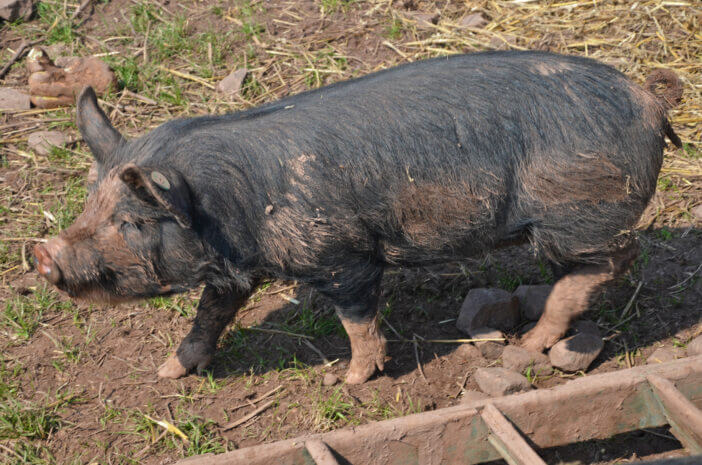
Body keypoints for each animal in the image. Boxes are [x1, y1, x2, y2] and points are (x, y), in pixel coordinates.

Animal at [33, 51, 680, 384]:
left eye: (136, 223)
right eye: (89, 204)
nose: (41, 254)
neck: (227, 206)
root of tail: (650, 99)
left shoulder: (344, 254)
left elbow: (355, 319)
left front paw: (351, 380)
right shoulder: (234, 270)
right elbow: (209, 315)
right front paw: (168, 373)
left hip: (578, 213)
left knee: (614, 259)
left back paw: (529, 347)